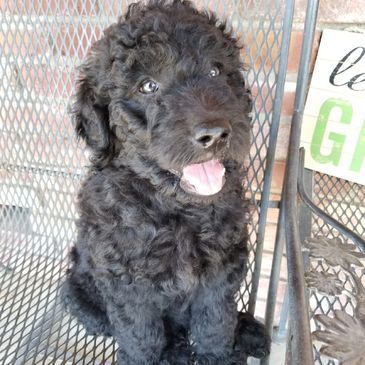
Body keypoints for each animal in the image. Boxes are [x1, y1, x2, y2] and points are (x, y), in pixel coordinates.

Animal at [62, 1, 268, 362]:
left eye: (215, 71)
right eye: (148, 86)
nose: (215, 134)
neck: (176, 209)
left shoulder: (222, 273)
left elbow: (216, 324)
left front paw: (220, 355)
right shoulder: (127, 285)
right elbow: (141, 336)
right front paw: (145, 356)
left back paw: (247, 332)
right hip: (77, 290)